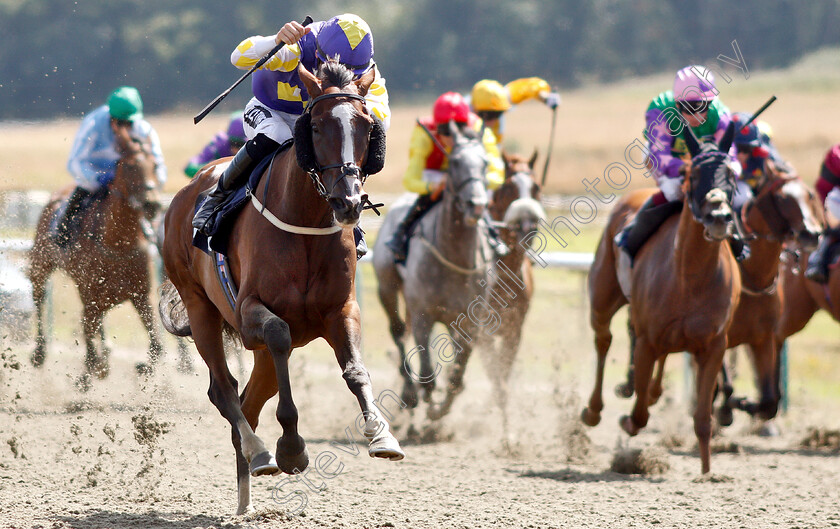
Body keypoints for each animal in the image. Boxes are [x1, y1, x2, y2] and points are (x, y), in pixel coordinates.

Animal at [29, 130, 162, 382]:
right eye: (130, 166)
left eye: (154, 165)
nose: (153, 204)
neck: (118, 243)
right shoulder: (89, 293)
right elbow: (88, 334)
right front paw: (92, 371)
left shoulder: (141, 295)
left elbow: (157, 344)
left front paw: (143, 367)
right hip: (41, 264)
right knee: (39, 297)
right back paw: (40, 352)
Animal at [163, 59, 404, 512]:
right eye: (318, 126)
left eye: (367, 127)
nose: (348, 203)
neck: (306, 222)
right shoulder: (250, 313)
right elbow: (277, 333)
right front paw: (291, 449)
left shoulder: (341, 309)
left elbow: (355, 370)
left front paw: (382, 434)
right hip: (201, 308)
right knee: (225, 391)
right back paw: (260, 453)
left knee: (249, 401)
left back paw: (246, 493)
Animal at [374, 119, 492, 420]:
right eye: (456, 162)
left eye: (485, 163)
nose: (477, 205)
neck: (454, 259)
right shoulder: (423, 315)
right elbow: (427, 372)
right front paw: (425, 404)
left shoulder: (470, 322)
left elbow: (457, 377)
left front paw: (439, 413)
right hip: (387, 287)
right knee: (398, 332)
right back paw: (409, 393)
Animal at [584, 126, 740, 472]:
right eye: (694, 174)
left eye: (732, 176)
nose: (719, 215)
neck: (690, 276)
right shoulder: (646, 341)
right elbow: (640, 413)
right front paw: (627, 420)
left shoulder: (714, 345)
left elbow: (703, 418)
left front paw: (707, 472)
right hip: (602, 298)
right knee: (603, 340)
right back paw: (593, 410)